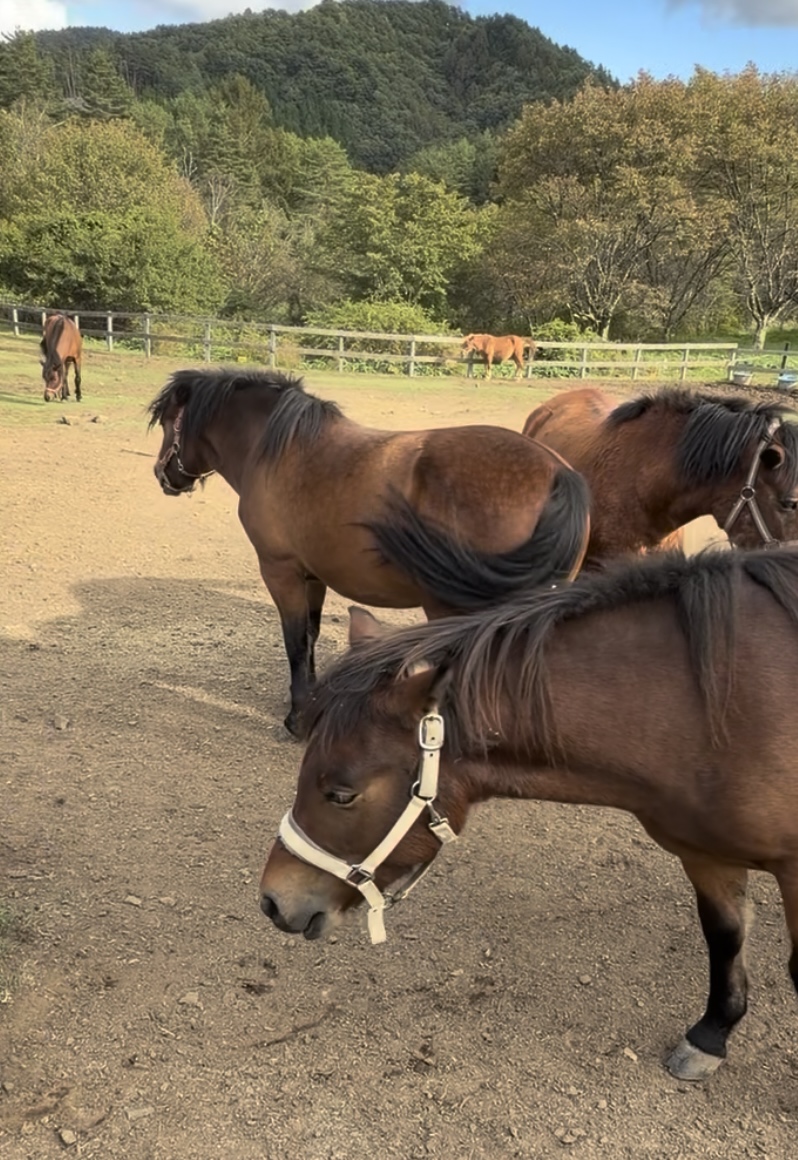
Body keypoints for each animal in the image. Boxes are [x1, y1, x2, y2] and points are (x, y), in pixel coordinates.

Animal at [148, 368, 590, 736]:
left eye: (170, 422)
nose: (162, 475)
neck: (280, 453)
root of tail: (557, 473)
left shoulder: (280, 571)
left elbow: (294, 640)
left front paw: (298, 717)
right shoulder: (314, 575)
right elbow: (310, 634)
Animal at [260, 546, 798, 1082]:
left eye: (341, 794)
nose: (272, 901)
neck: (708, 708)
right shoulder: (706, 854)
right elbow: (725, 937)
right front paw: (711, 1035)